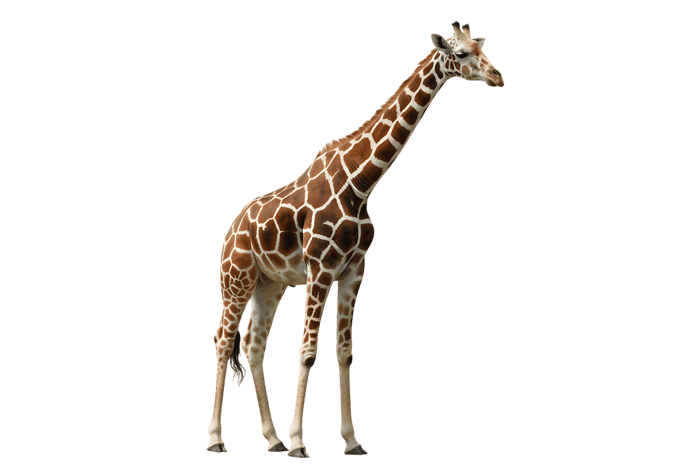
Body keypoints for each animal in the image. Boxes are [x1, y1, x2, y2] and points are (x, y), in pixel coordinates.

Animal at [207, 21, 504, 457]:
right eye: (462, 53)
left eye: (482, 47)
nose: (498, 77)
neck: (360, 182)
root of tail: (230, 230)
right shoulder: (320, 269)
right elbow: (308, 352)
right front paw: (300, 442)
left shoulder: (354, 271)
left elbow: (344, 353)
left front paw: (350, 440)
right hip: (237, 278)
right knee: (223, 339)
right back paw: (217, 438)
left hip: (269, 284)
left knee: (253, 344)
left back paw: (272, 438)